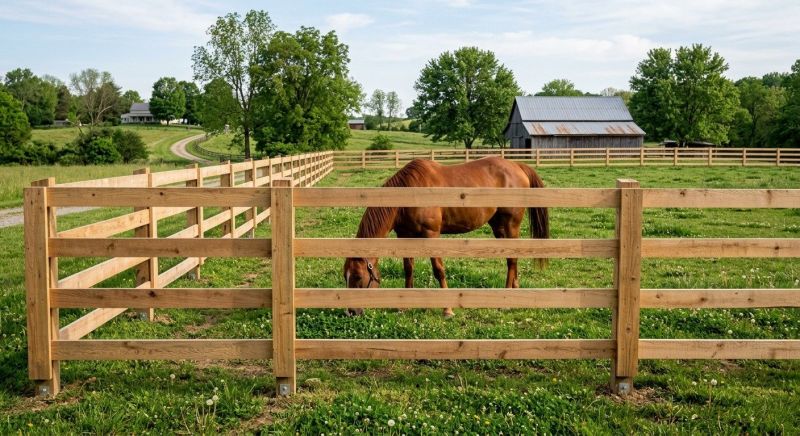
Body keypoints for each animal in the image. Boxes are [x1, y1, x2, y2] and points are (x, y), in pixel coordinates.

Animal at [343, 156, 550, 317]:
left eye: (358, 277)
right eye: (345, 276)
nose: (351, 312)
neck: (410, 192)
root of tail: (517, 166)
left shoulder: (432, 234)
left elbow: (438, 270)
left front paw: (447, 310)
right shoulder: (405, 236)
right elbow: (408, 269)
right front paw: (404, 307)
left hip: (510, 224)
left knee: (512, 259)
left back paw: (505, 302)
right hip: (498, 226)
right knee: (511, 257)